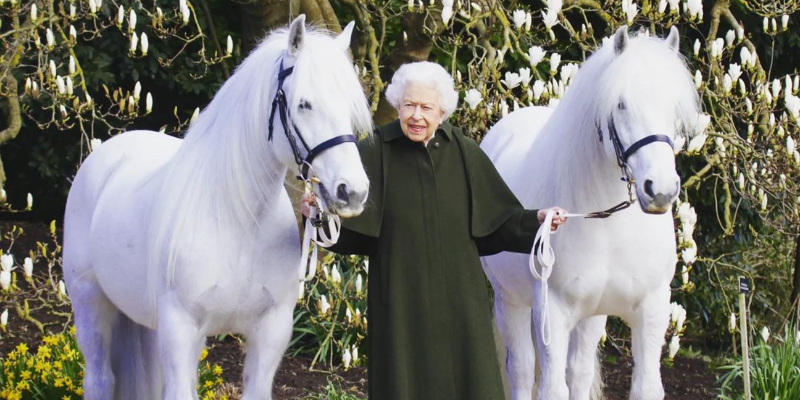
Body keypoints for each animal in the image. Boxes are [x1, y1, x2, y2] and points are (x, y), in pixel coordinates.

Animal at [64, 15, 374, 400]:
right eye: (304, 104)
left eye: (350, 107)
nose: (353, 192)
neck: (238, 221)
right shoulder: (180, 329)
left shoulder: (270, 332)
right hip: (89, 301)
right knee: (100, 379)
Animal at [482, 27, 700, 400]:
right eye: (621, 103)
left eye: (673, 106)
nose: (660, 190)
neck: (608, 225)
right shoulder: (552, 313)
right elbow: (551, 387)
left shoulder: (652, 309)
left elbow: (643, 386)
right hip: (510, 301)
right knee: (522, 371)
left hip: (590, 315)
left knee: (579, 372)